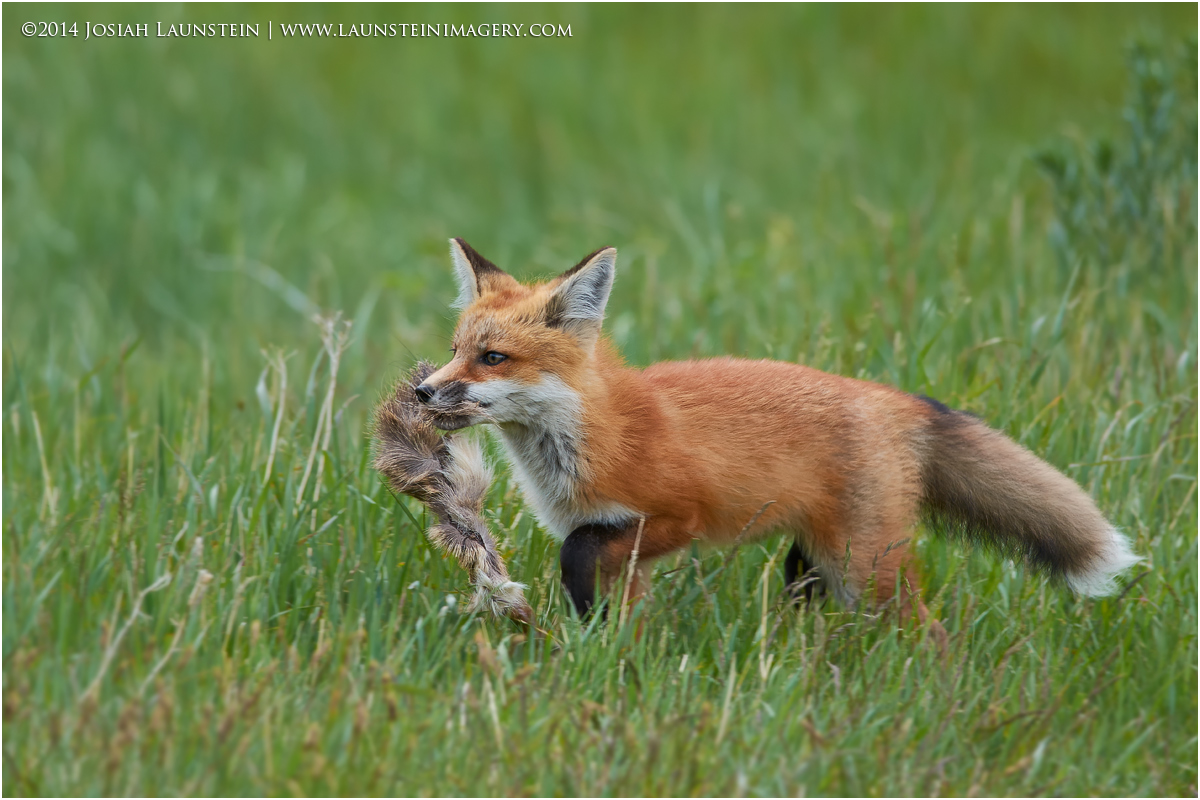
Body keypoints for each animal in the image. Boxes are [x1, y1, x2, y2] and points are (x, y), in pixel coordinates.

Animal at [413, 237, 1139, 626]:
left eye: (493, 358)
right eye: (454, 350)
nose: (421, 392)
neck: (593, 437)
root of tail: (889, 396)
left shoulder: (674, 516)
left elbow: (578, 553)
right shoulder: (626, 547)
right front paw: (609, 650)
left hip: (865, 568)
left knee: (926, 631)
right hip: (813, 562)